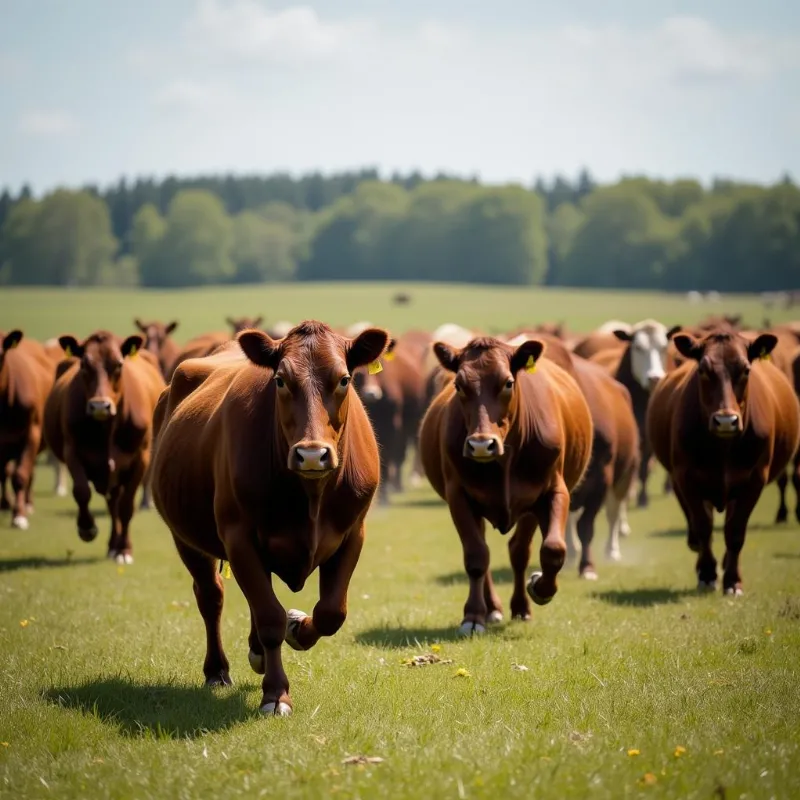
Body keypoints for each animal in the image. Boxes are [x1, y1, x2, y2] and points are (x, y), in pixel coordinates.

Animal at [0, 332, 55, 532]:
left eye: (0, 355)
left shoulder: (32, 434)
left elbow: (20, 475)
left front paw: (19, 516)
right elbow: (5, 473)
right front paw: (7, 505)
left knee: (28, 470)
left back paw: (27, 503)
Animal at [43, 332, 166, 564]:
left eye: (118, 364)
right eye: (84, 364)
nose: (100, 406)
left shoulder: (141, 459)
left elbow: (127, 506)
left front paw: (125, 550)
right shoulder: (72, 452)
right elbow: (81, 491)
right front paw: (86, 528)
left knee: (116, 505)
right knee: (111, 505)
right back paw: (111, 545)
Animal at [152, 322, 390, 716]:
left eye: (343, 379)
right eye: (280, 380)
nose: (312, 454)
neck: (310, 496)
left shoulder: (352, 533)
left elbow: (330, 612)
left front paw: (297, 628)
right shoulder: (238, 537)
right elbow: (269, 617)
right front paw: (276, 693)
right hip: (185, 537)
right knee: (210, 596)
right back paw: (216, 670)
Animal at [418, 334, 592, 636]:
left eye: (508, 383)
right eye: (459, 385)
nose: (480, 444)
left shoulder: (554, 491)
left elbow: (553, 549)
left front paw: (540, 588)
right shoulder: (458, 496)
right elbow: (476, 557)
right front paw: (473, 616)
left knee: (519, 550)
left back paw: (521, 607)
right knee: (484, 551)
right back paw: (493, 609)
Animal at [648, 330, 800, 592]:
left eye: (746, 369)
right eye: (703, 369)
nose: (726, 421)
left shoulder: (754, 480)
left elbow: (735, 531)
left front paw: (732, 580)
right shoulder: (685, 478)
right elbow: (703, 527)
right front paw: (708, 574)